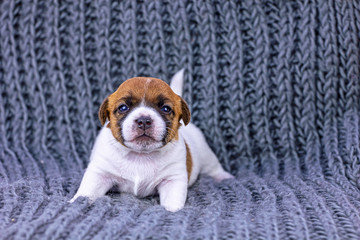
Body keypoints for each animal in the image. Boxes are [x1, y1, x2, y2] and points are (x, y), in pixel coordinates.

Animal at [70, 69, 233, 212]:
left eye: (166, 109)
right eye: (123, 107)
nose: (143, 120)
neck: (140, 155)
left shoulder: (172, 180)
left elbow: (173, 201)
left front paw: (171, 210)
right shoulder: (100, 173)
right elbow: (87, 190)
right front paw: (75, 202)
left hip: (206, 155)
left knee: (214, 167)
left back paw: (223, 176)